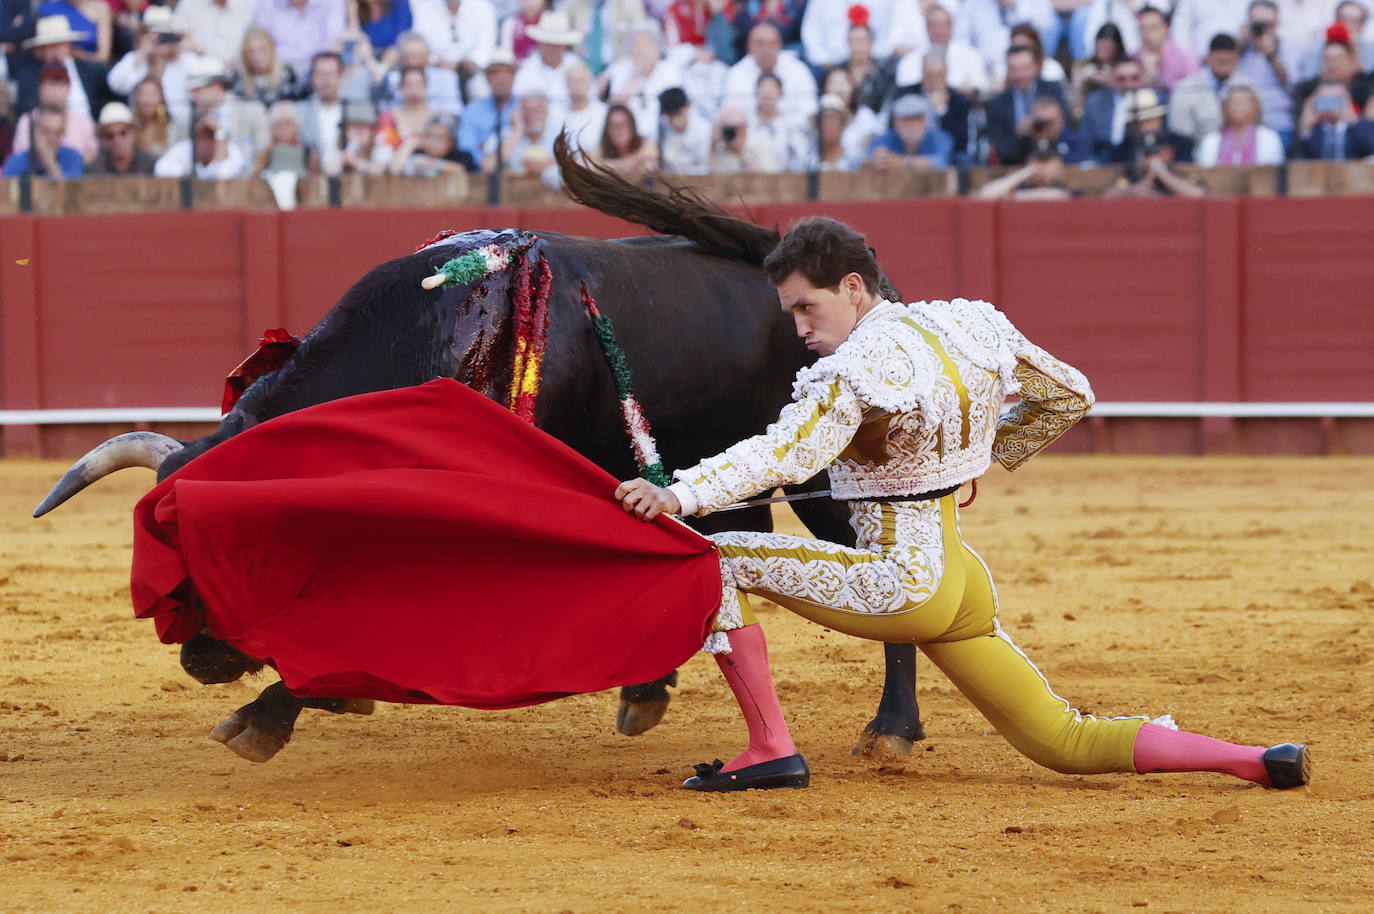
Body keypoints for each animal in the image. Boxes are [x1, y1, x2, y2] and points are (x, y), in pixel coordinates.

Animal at [34, 146, 934, 764]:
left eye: (232, 542)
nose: (201, 660)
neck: (434, 333)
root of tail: (874, 291)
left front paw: (270, 715)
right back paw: (647, 693)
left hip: (830, 478)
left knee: (882, 576)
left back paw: (891, 729)